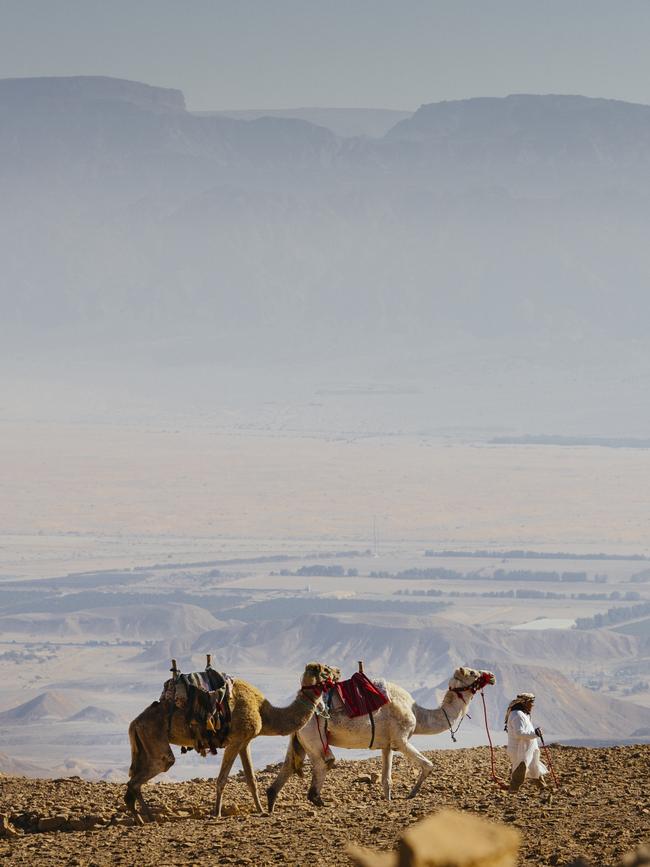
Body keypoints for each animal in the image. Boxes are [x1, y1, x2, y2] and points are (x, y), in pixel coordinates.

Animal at [126, 664, 340, 820]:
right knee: (149, 772)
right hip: (154, 739)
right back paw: (142, 819)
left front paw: (261, 810)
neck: (264, 712)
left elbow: (251, 779)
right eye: (325, 670)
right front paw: (217, 813)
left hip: (144, 743)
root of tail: (134, 723)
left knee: (135, 781)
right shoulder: (235, 740)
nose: (338, 671)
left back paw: (144, 817)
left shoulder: (245, 742)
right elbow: (222, 779)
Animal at [266, 664, 494, 812]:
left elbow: (387, 780)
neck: (417, 713)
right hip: (315, 733)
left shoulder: (387, 745)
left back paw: (270, 804)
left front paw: (389, 800)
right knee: (324, 762)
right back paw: (318, 801)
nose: (491, 676)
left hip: (300, 737)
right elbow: (428, 765)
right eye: (472, 672)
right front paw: (411, 794)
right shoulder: (402, 739)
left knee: (289, 763)